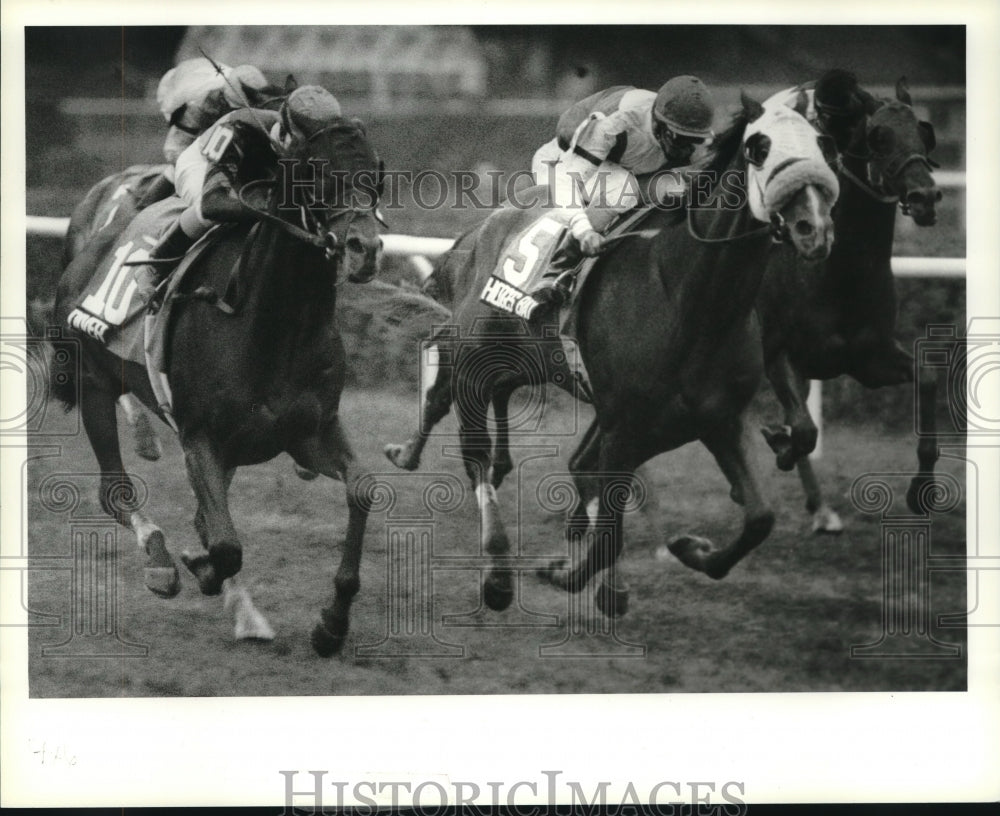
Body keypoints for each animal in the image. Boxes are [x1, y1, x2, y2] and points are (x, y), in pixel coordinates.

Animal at [49, 115, 386, 652]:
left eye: (375, 173)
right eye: (314, 172)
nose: (364, 249)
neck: (275, 325)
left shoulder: (309, 434)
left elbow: (363, 491)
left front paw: (332, 624)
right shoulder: (200, 437)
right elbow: (225, 544)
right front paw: (199, 567)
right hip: (92, 383)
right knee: (114, 491)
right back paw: (162, 558)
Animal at [386, 95, 840, 616]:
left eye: (824, 145)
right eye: (759, 148)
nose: (813, 229)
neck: (692, 300)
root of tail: (482, 227)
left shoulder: (717, 418)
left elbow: (760, 517)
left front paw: (689, 550)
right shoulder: (625, 424)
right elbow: (607, 530)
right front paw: (570, 573)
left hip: (527, 361)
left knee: (490, 409)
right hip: (478, 358)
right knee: (471, 445)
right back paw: (495, 569)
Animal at [756, 79, 944, 532]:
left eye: (922, 132)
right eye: (879, 136)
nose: (926, 196)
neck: (837, 272)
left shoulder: (868, 359)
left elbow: (928, 378)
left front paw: (921, 490)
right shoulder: (777, 353)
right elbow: (803, 430)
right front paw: (780, 441)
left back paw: (821, 508)